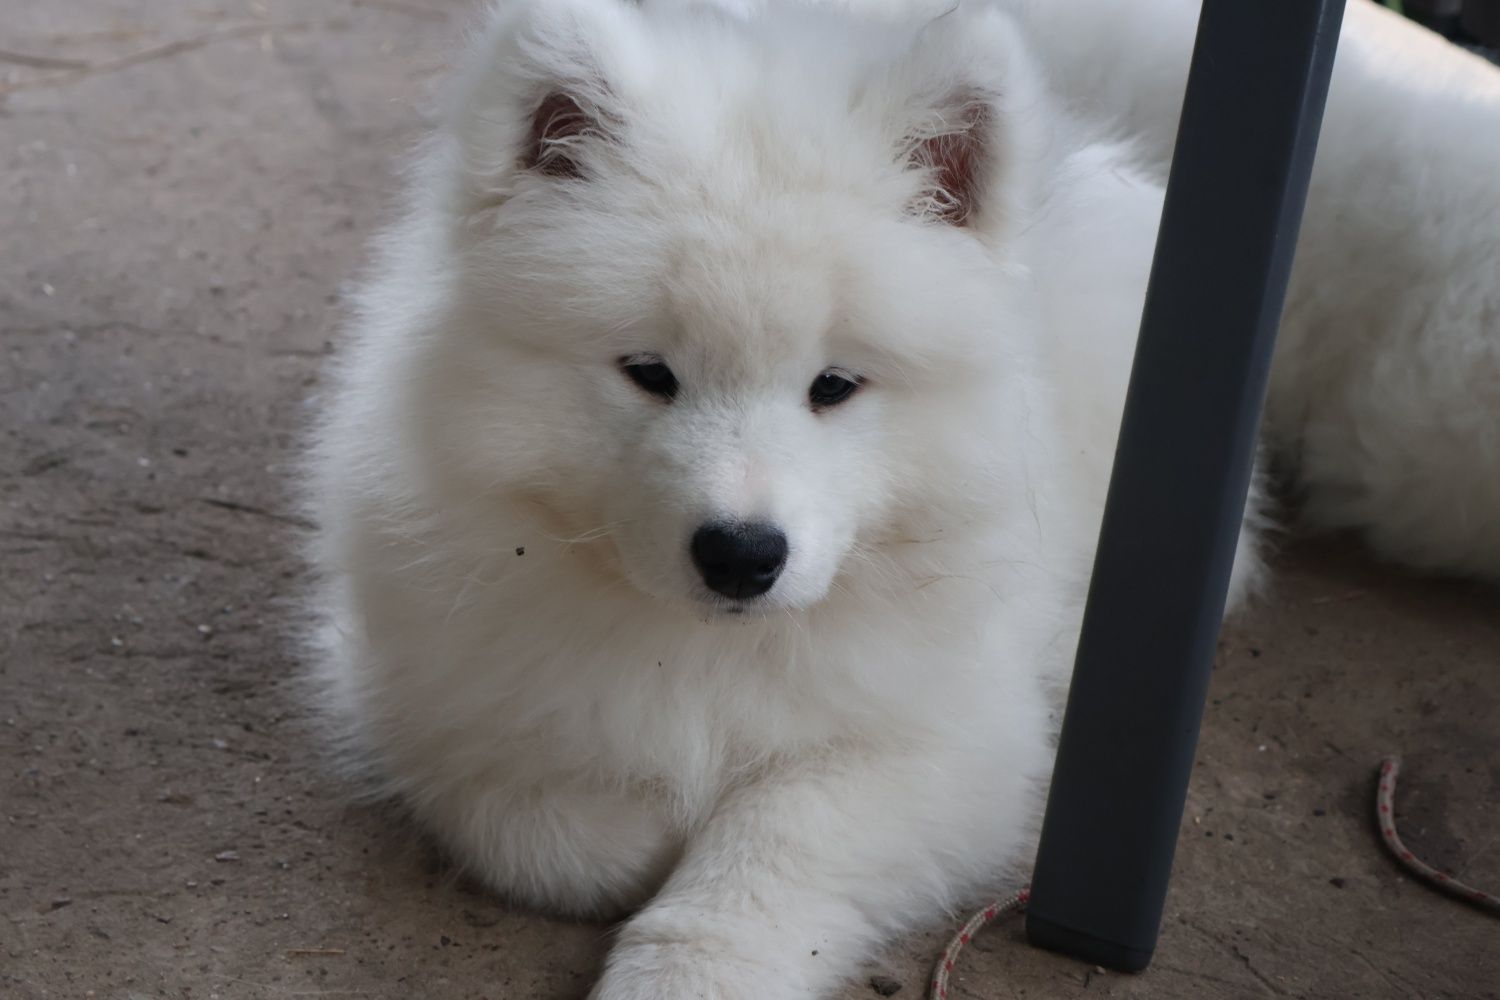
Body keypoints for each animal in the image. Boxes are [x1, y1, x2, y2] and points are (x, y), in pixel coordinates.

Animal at [301, 0, 1488, 995]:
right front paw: (644, 834)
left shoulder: (946, 745)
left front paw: (691, 964)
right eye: (648, 372)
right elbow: (546, 823)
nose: (742, 554)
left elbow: (780, 836)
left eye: (835, 385)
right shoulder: (424, 700)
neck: (708, 649)